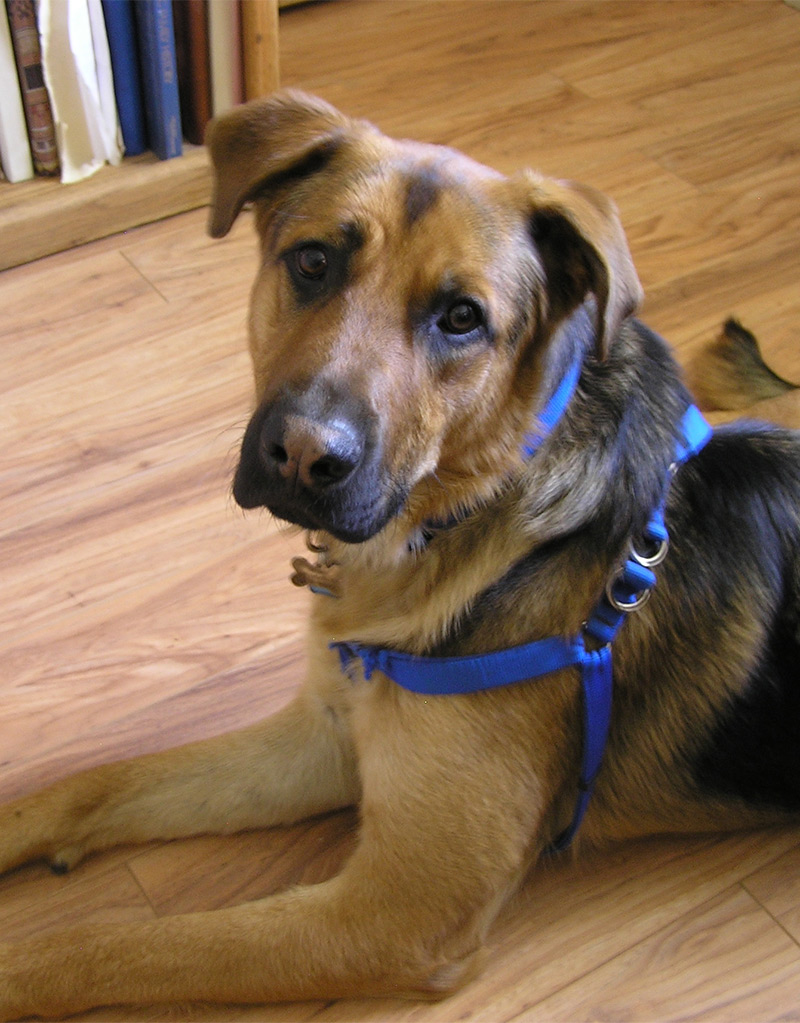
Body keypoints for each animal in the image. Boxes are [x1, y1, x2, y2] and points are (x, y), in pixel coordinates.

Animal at [1, 92, 800, 1018]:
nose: (304, 457)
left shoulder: (396, 911)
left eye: (461, 318)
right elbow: (98, 784)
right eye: (312, 262)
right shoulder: (324, 738)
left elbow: (124, 946)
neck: (469, 519)